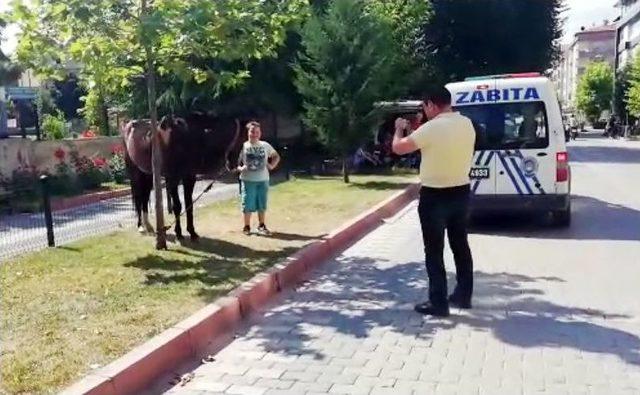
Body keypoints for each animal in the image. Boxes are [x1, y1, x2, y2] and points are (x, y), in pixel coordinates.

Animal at [120, 113, 240, 241]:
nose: (232, 164)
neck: (185, 138)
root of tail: (127, 124)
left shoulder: (189, 177)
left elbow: (189, 204)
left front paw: (192, 232)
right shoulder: (172, 179)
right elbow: (177, 205)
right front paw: (178, 233)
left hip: (148, 173)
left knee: (144, 197)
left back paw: (149, 226)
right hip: (135, 173)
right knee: (138, 197)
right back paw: (141, 226)